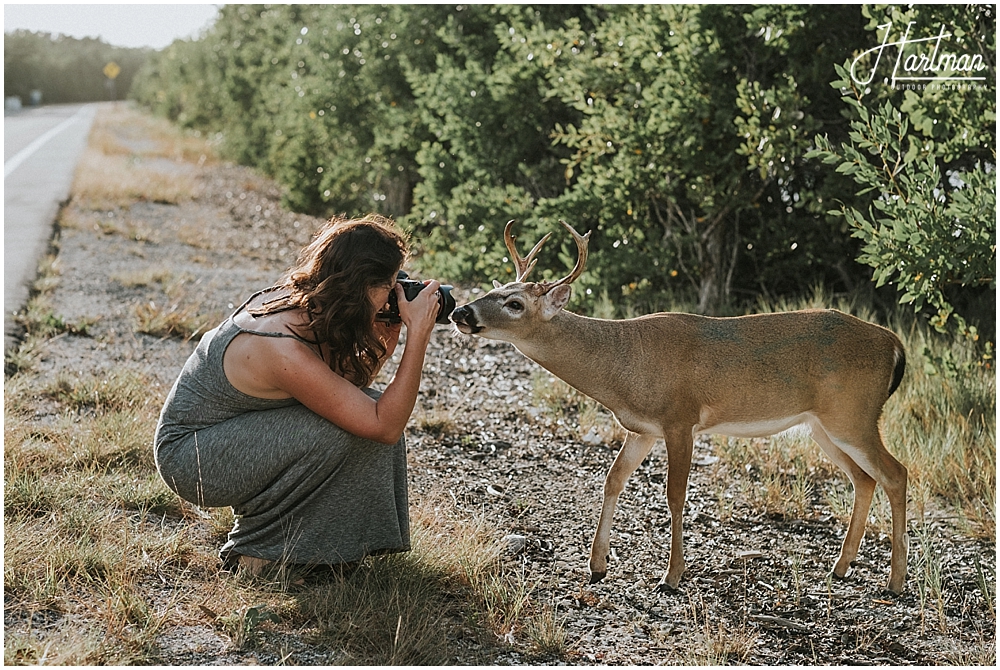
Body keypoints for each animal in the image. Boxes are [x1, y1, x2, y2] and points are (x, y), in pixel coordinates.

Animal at [450, 223, 912, 596]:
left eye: (515, 304)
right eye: (493, 290)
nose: (459, 311)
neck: (624, 366)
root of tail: (894, 344)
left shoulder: (680, 419)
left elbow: (674, 495)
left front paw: (671, 577)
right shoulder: (642, 428)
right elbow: (613, 480)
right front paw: (596, 566)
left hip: (852, 414)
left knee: (896, 473)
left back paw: (894, 581)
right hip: (823, 426)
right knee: (864, 479)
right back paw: (841, 567)